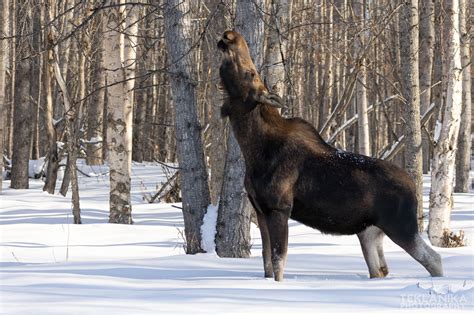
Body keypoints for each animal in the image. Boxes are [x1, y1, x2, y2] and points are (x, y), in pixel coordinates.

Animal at [218, 30, 444, 282]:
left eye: (250, 73)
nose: (230, 36)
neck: (254, 150)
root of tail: (413, 186)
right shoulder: (260, 209)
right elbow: (267, 261)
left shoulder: (280, 207)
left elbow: (278, 261)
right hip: (369, 232)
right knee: (380, 270)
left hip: (400, 225)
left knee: (434, 259)